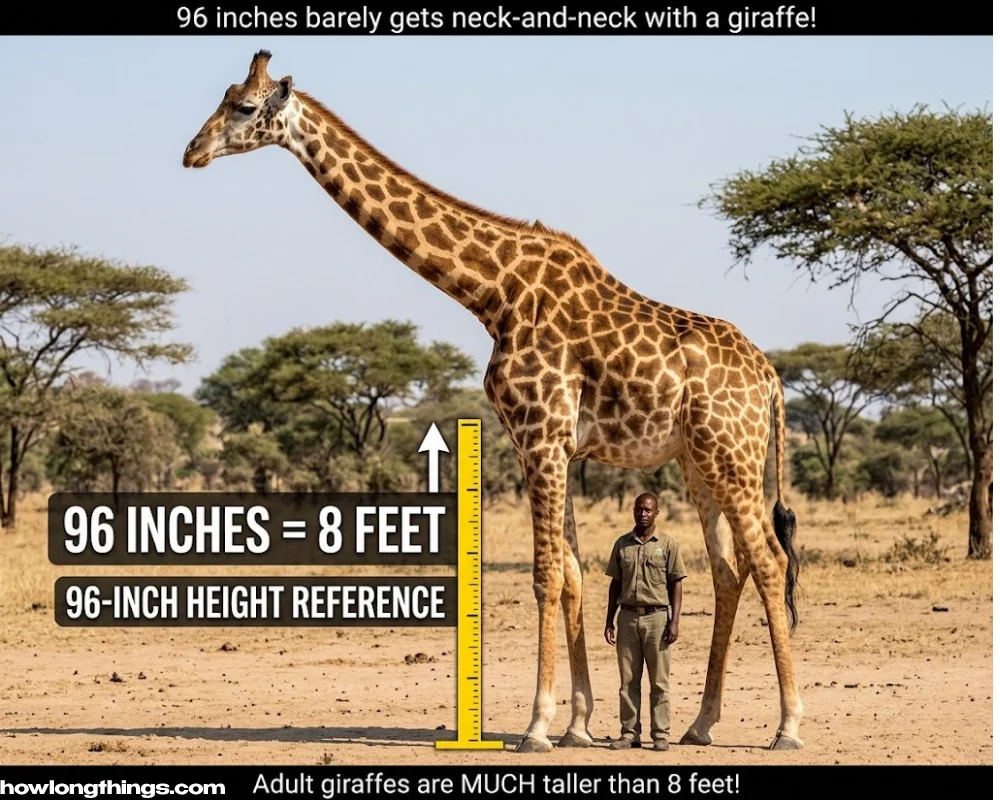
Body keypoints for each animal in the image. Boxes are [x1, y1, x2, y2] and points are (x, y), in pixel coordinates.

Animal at [182, 50, 805, 753]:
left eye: (243, 107)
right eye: (225, 96)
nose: (192, 151)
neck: (491, 294)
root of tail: (771, 378)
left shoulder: (541, 436)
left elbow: (545, 576)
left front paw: (537, 725)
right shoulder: (553, 444)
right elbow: (574, 575)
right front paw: (578, 725)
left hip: (731, 455)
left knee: (769, 560)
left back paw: (787, 725)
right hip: (699, 463)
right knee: (730, 569)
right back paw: (700, 724)